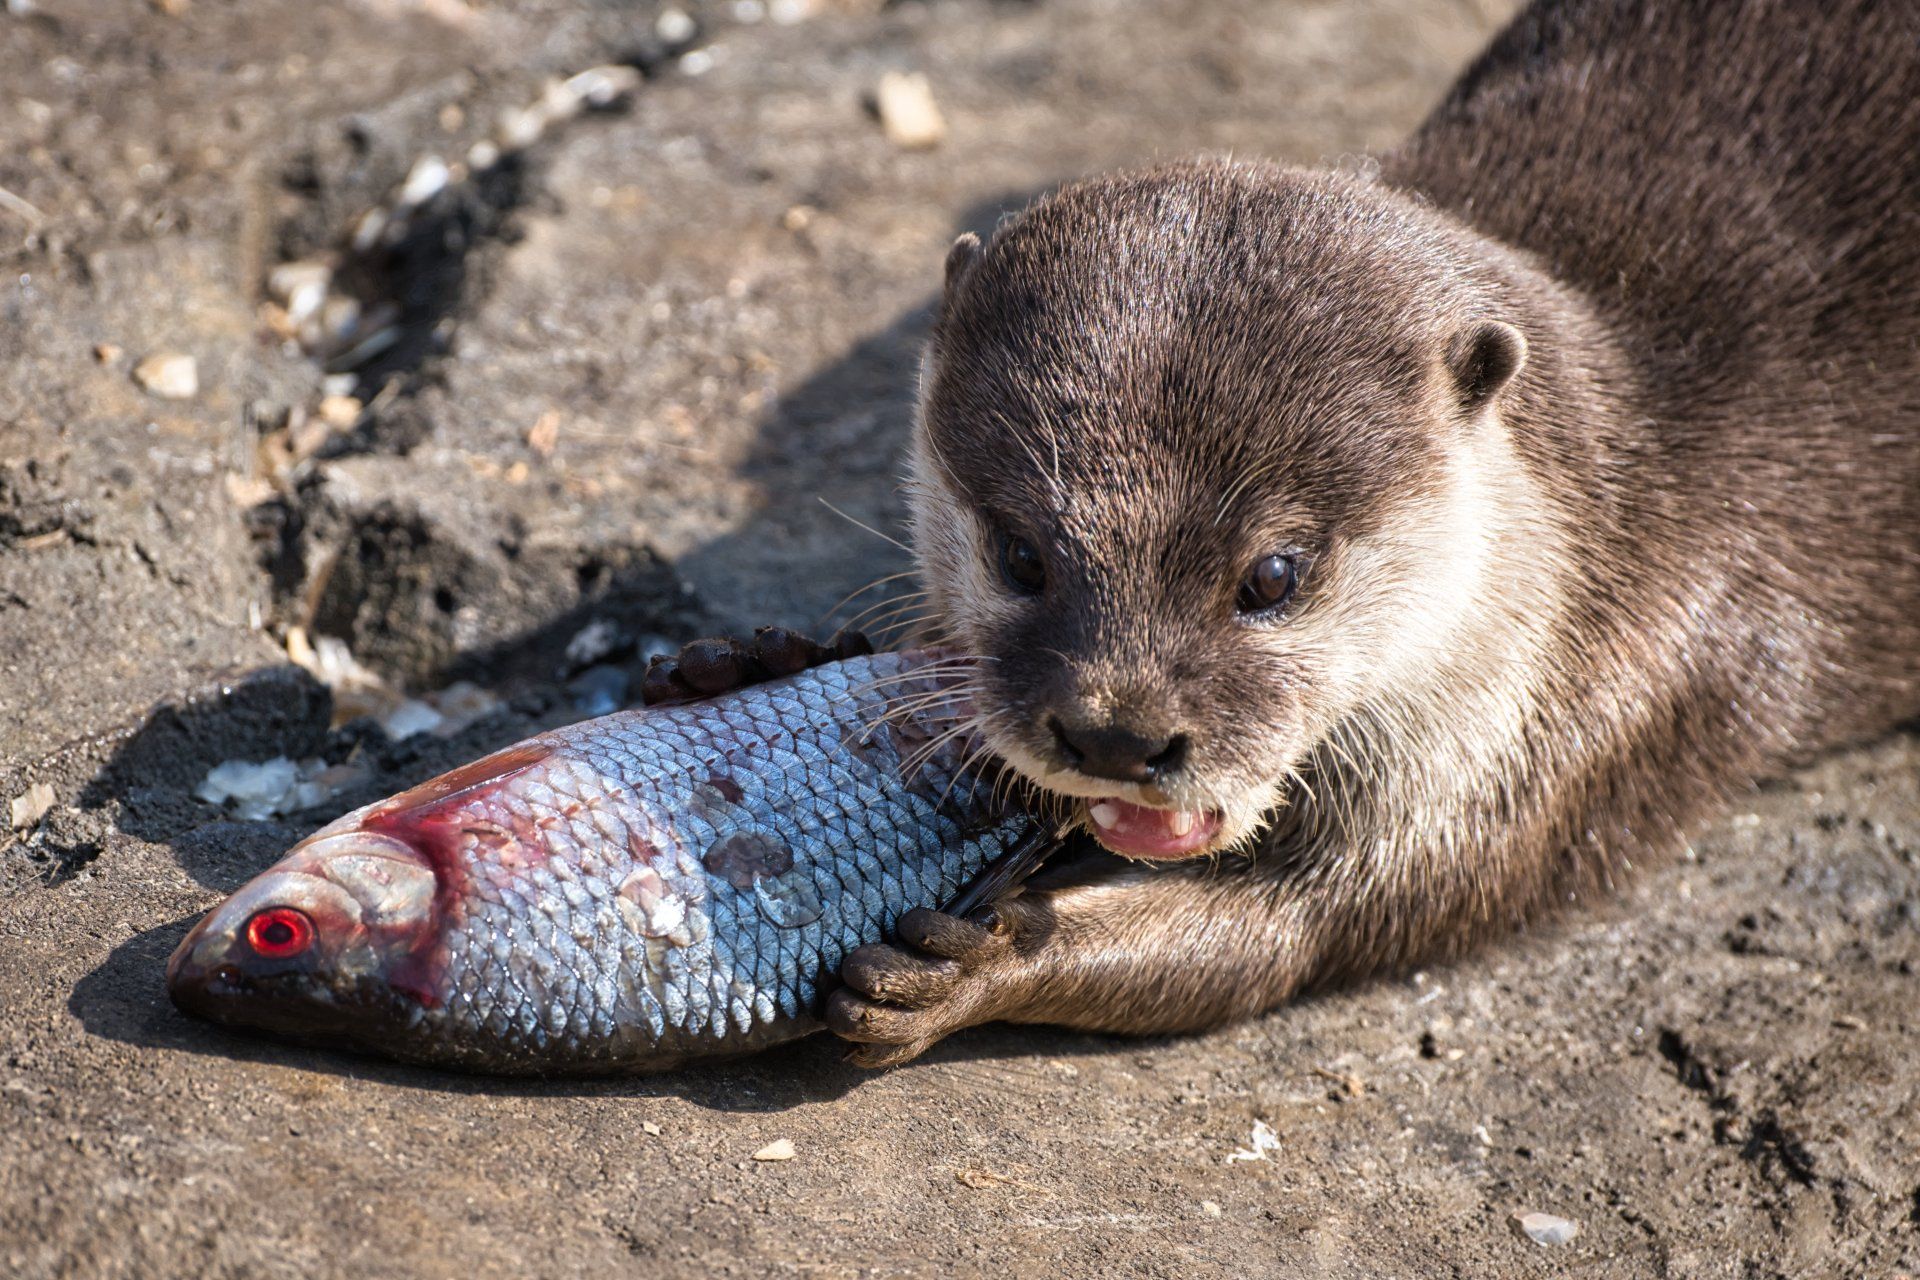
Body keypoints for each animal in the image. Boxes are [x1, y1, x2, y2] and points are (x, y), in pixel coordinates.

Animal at [648, 0, 1920, 1066]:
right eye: (1019, 553)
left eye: (1272, 574)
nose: (1115, 732)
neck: (1602, 521)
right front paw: (752, 660)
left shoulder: (1550, 749)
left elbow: (1281, 935)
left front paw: (970, 969)